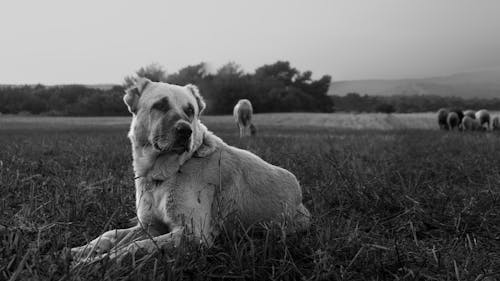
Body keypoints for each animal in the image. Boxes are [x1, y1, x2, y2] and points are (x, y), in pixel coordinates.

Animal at [70, 77, 310, 262]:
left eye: (190, 111)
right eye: (160, 105)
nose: (185, 131)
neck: (165, 174)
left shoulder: (193, 234)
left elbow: (134, 247)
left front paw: (93, 262)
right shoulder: (150, 226)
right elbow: (110, 234)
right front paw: (81, 251)